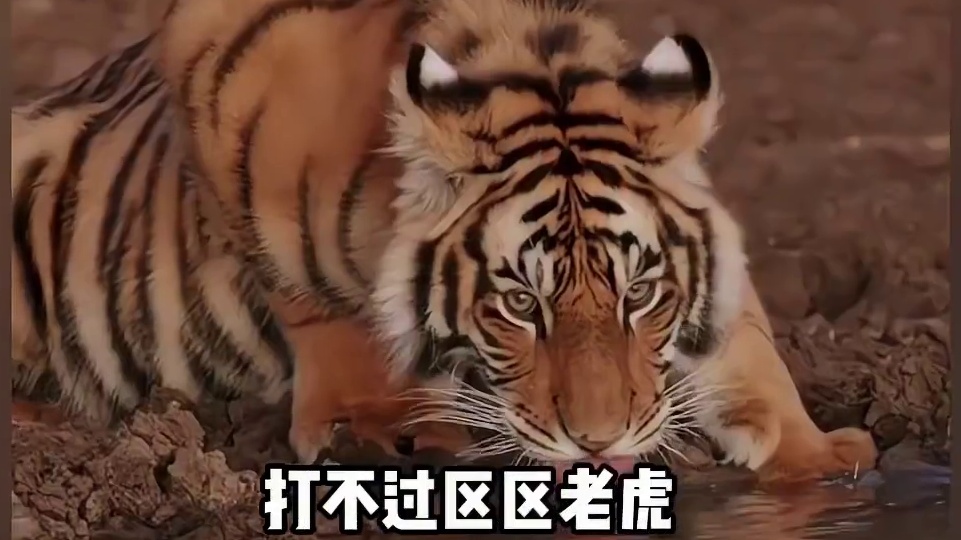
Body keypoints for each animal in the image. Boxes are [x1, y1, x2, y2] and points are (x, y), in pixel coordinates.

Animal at [11, 0, 878, 483]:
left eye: (638, 294)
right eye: (520, 305)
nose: (600, 445)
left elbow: (746, 330)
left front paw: (813, 452)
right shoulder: (217, 75)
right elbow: (318, 297)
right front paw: (374, 422)